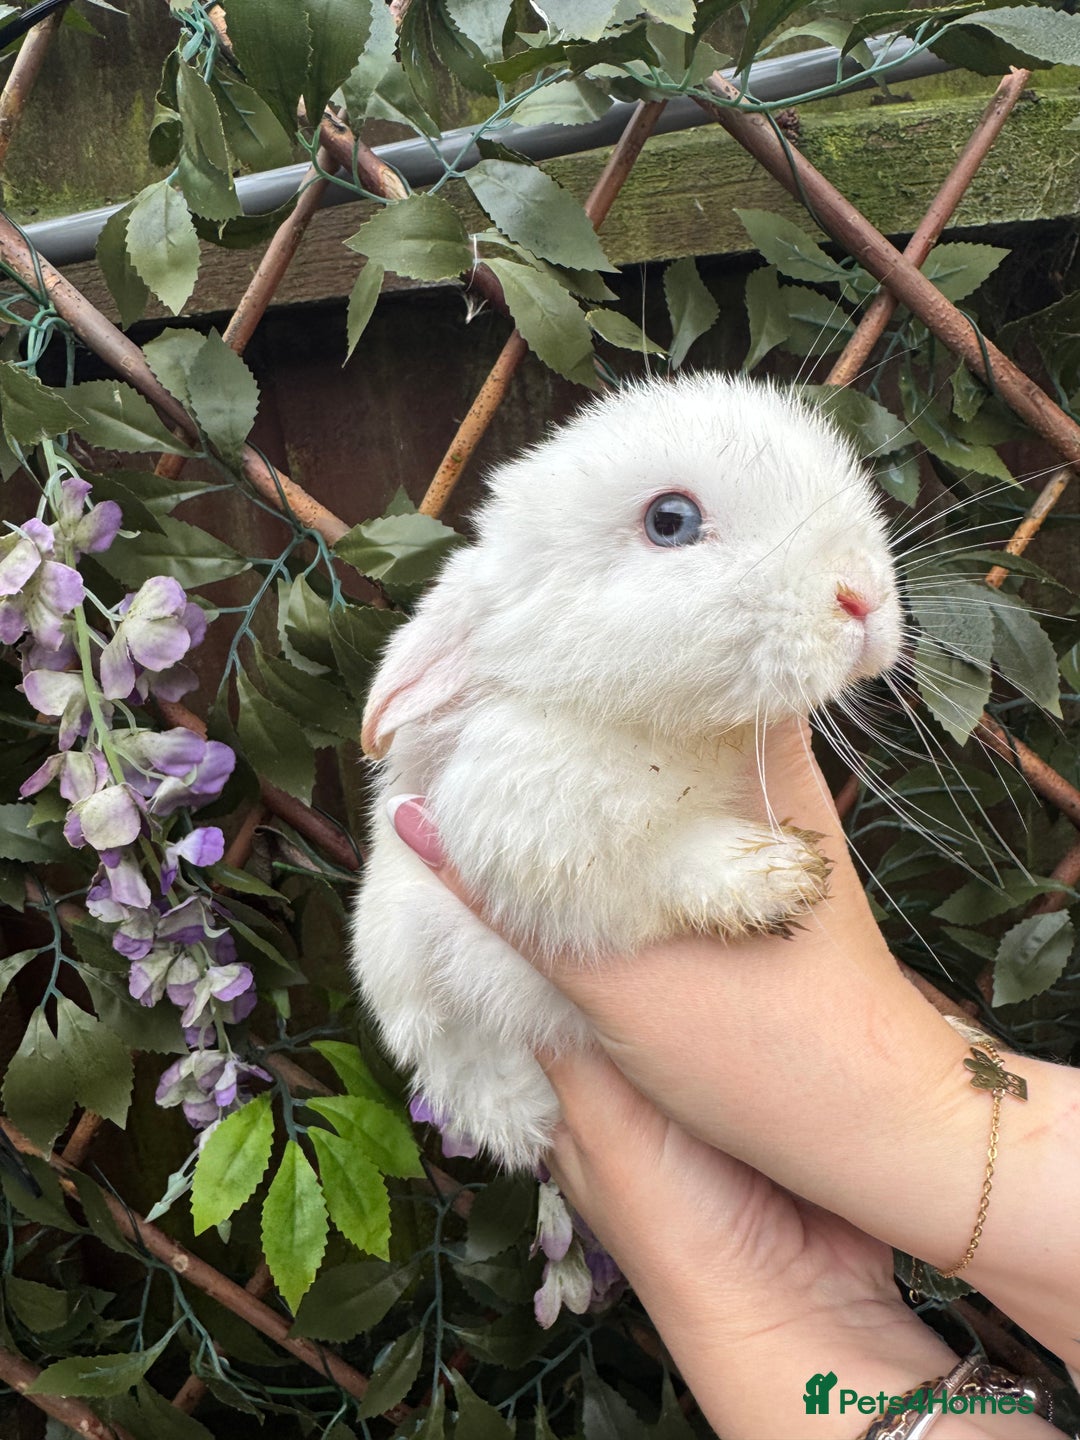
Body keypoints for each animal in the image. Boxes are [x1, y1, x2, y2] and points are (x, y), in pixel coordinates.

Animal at [349, 372, 903, 1171]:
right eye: (671, 521)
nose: (863, 596)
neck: (652, 731)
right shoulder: (525, 844)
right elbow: (650, 869)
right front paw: (773, 876)